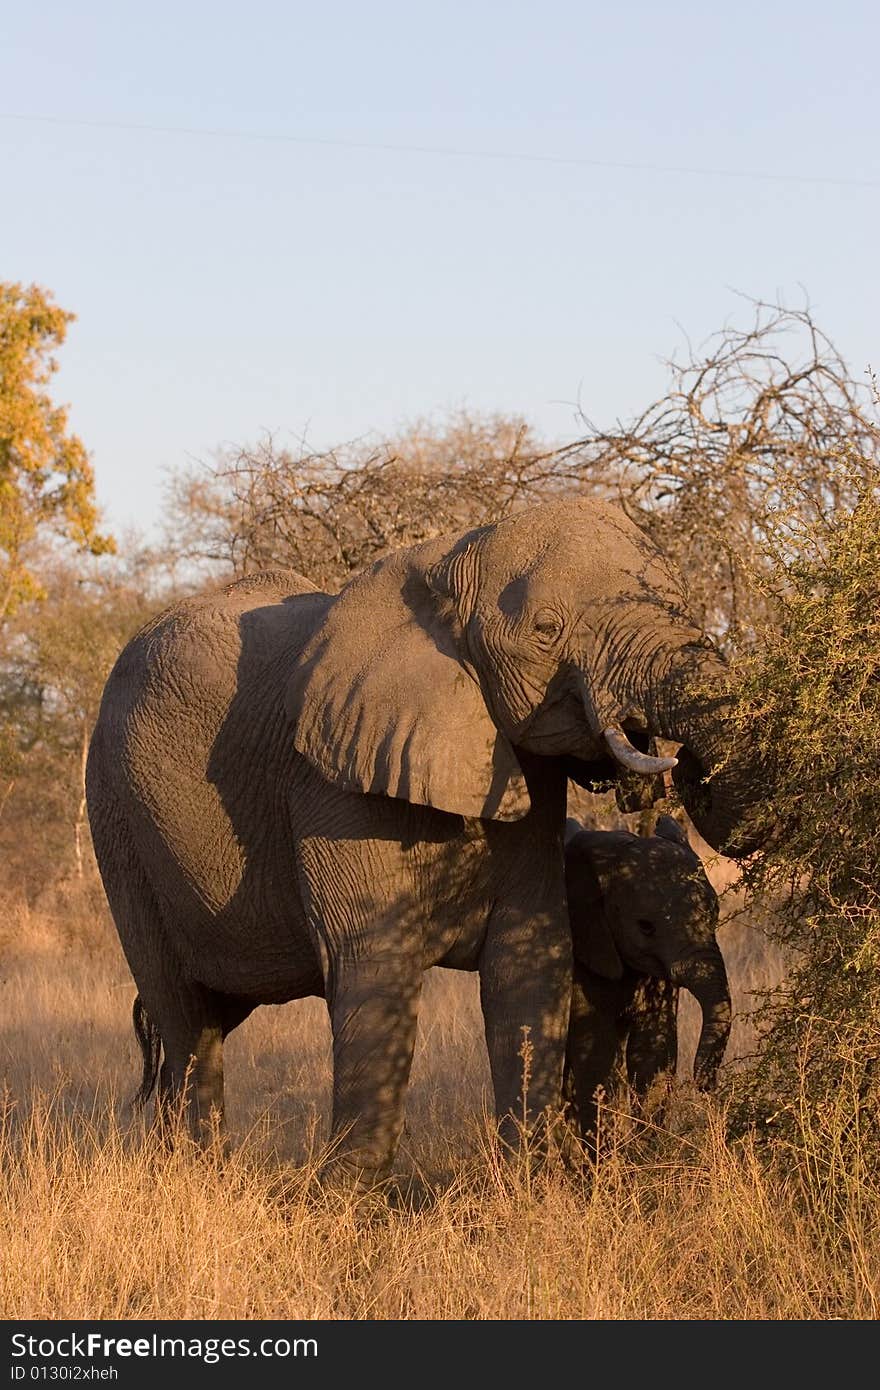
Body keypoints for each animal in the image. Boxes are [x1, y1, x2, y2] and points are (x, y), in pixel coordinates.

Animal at [561, 811, 728, 1145]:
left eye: (715, 910)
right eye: (645, 927)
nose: (706, 1084)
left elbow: (655, 1048)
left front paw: (649, 1151)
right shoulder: (582, 951)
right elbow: (596, 1053)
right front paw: (608, 1156)